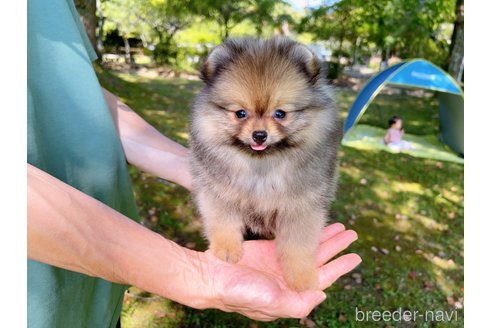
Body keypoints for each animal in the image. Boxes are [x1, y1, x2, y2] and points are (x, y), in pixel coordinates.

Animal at [189, 37, 342, 290]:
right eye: (240, 113)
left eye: (280, 114)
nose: (259, 135)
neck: (261, 164)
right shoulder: (218, 194)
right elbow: (223, 222)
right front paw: (227, 250)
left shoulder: (301, 206)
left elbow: (298, 245)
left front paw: (301, 277)